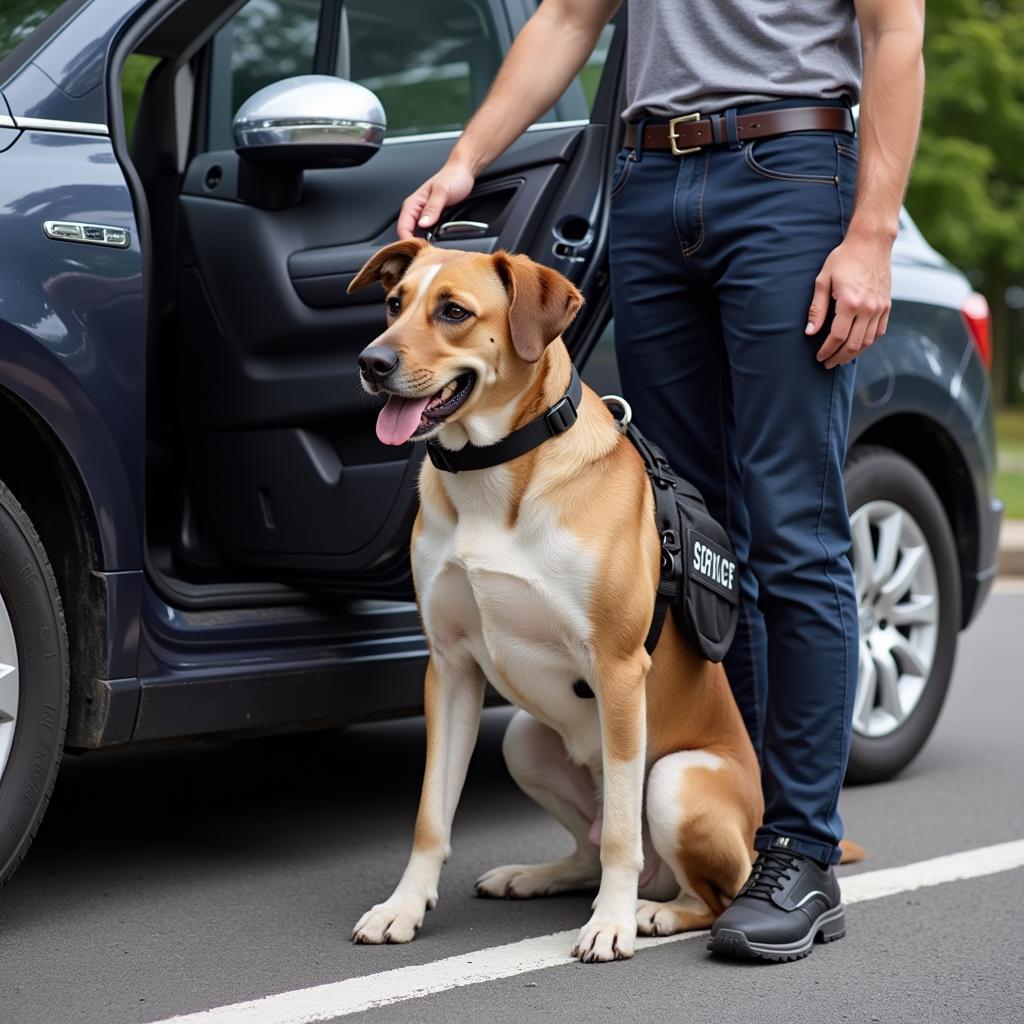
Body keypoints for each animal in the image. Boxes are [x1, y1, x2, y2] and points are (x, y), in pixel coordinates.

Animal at [348, 239, 765, 958]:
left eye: (453, 311)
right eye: (395, 304)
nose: (372, 362)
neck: (493, 474)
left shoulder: (620, 673)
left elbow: (622, 833)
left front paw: (610, 924)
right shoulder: (450, 669)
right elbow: (431, 814)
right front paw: (404, 906)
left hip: (676, 779)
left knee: (706, 891)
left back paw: (651, 913)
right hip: (525, 741)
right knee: (587, 851)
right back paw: (535, 875)